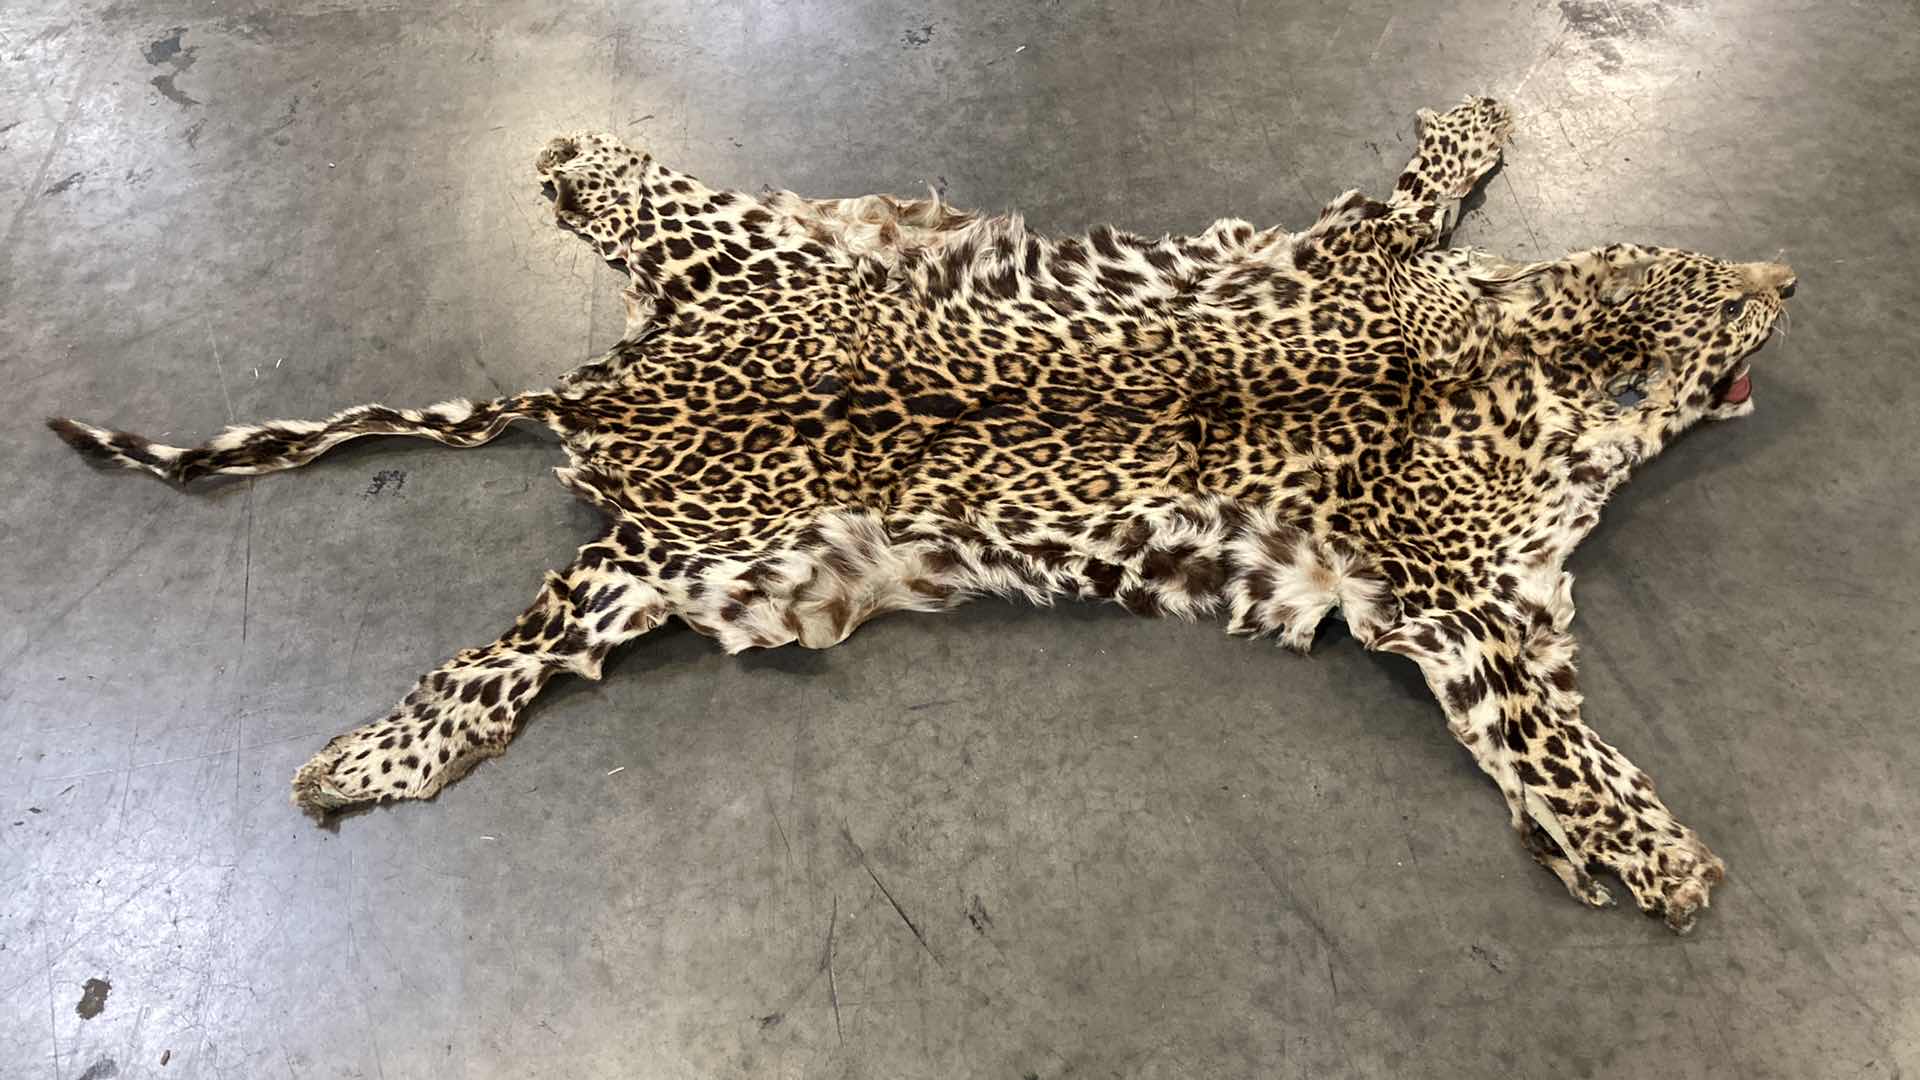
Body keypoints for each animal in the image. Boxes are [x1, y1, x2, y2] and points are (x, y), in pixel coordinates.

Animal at [48, 96, 1795, 933]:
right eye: (1722, 300)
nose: (1786, 275)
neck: (1504, 367)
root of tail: (607, 396)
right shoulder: (1456, 599)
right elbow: (1560, 744)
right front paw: (1663, 859)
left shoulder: (1482, 587)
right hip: (723, 388)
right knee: (508, 642)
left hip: (663, 542)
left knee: (516, 636)